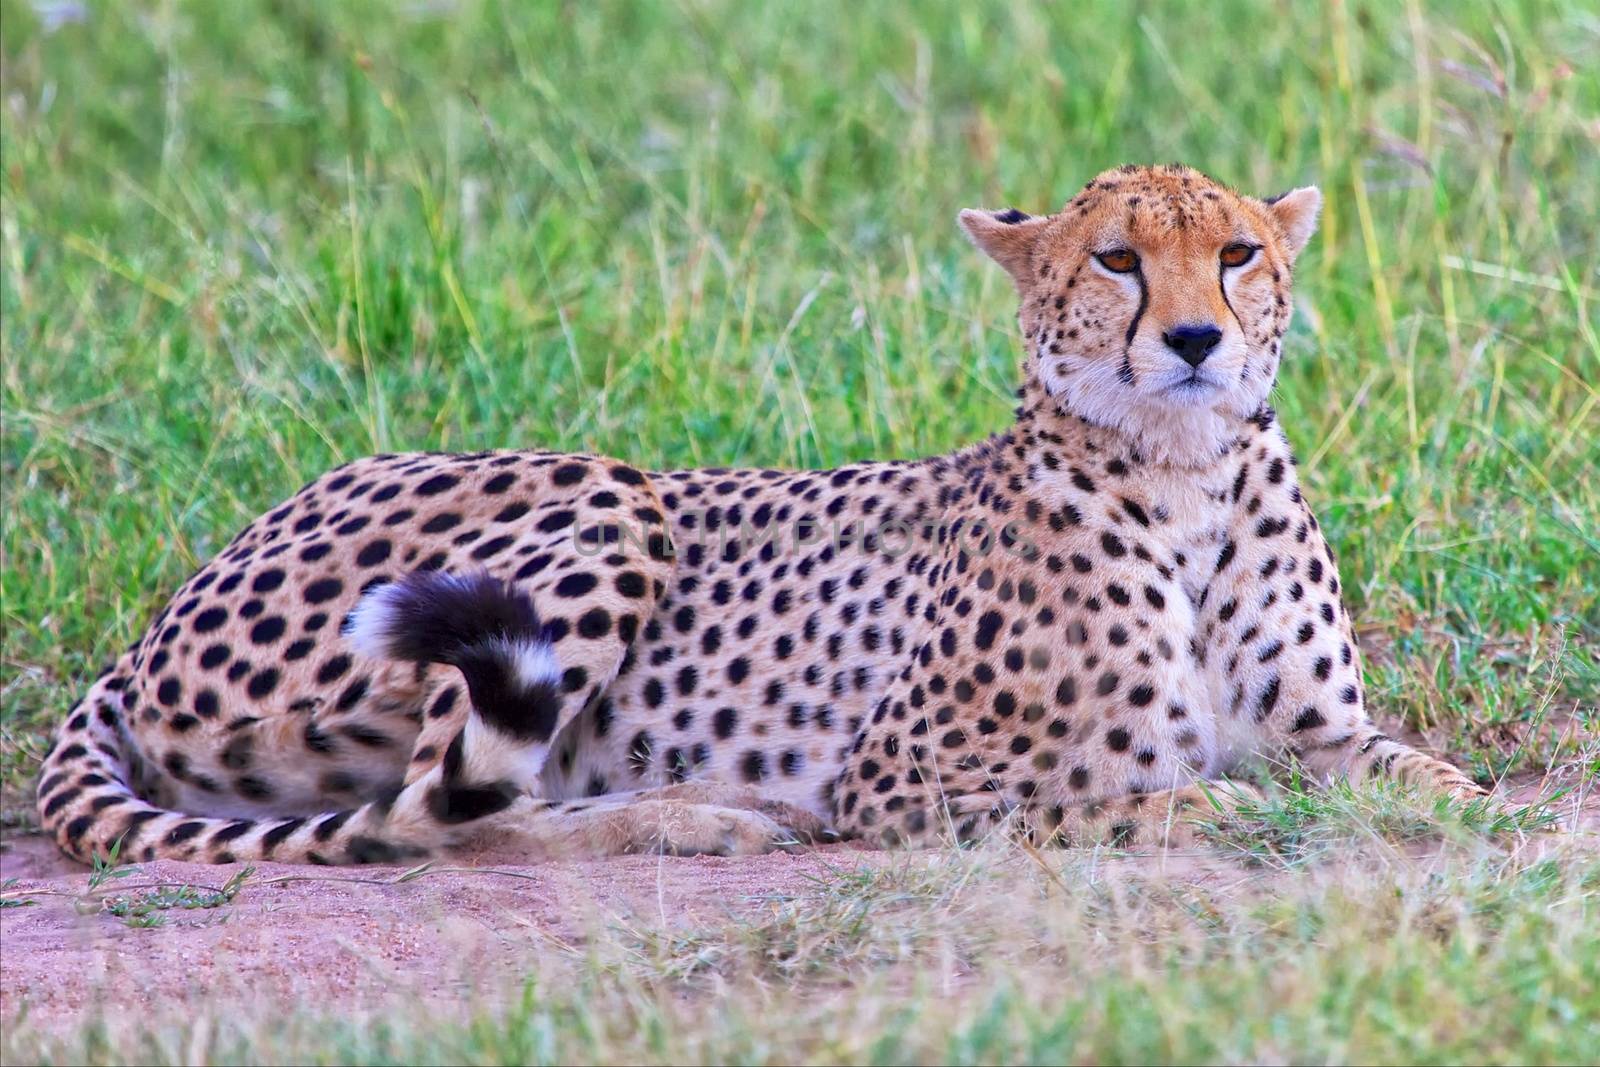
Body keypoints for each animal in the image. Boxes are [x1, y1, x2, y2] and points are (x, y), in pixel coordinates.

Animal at [37, 167, 1484, 870]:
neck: (1183, 473)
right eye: (1118, 259)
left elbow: (1427, 779)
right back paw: (702, 818)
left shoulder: (1324, 733)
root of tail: (159, 614)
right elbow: (1122, 799)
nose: (1192, 339)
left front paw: (1458, 812)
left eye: (1236, 254)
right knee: (428, 813)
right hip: (607, 496)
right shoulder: (900, 779)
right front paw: (1208, 809)